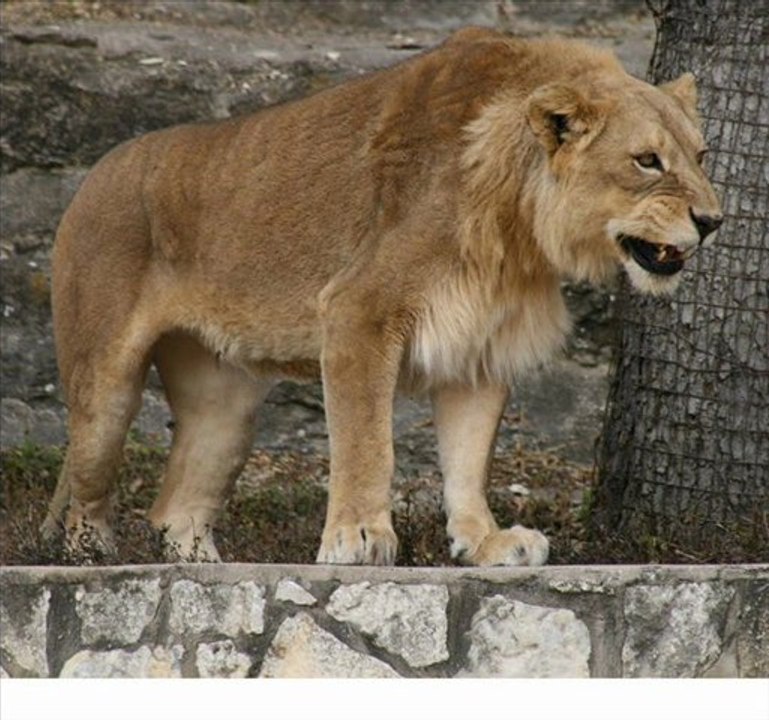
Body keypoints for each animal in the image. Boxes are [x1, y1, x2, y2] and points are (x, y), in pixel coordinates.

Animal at [42, 27, 722, 566]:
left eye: (700, 155)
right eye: (647, 161)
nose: (714, 221)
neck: (518, 229)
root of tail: (93, 174)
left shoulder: (480, 344)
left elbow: (468, 458)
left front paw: (484, 542)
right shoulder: (358, 311)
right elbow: (367, 440)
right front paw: (359, 536)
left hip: (224, 410)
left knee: (175, 510)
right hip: (106, 389)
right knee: (85, 490)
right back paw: (93, 559)